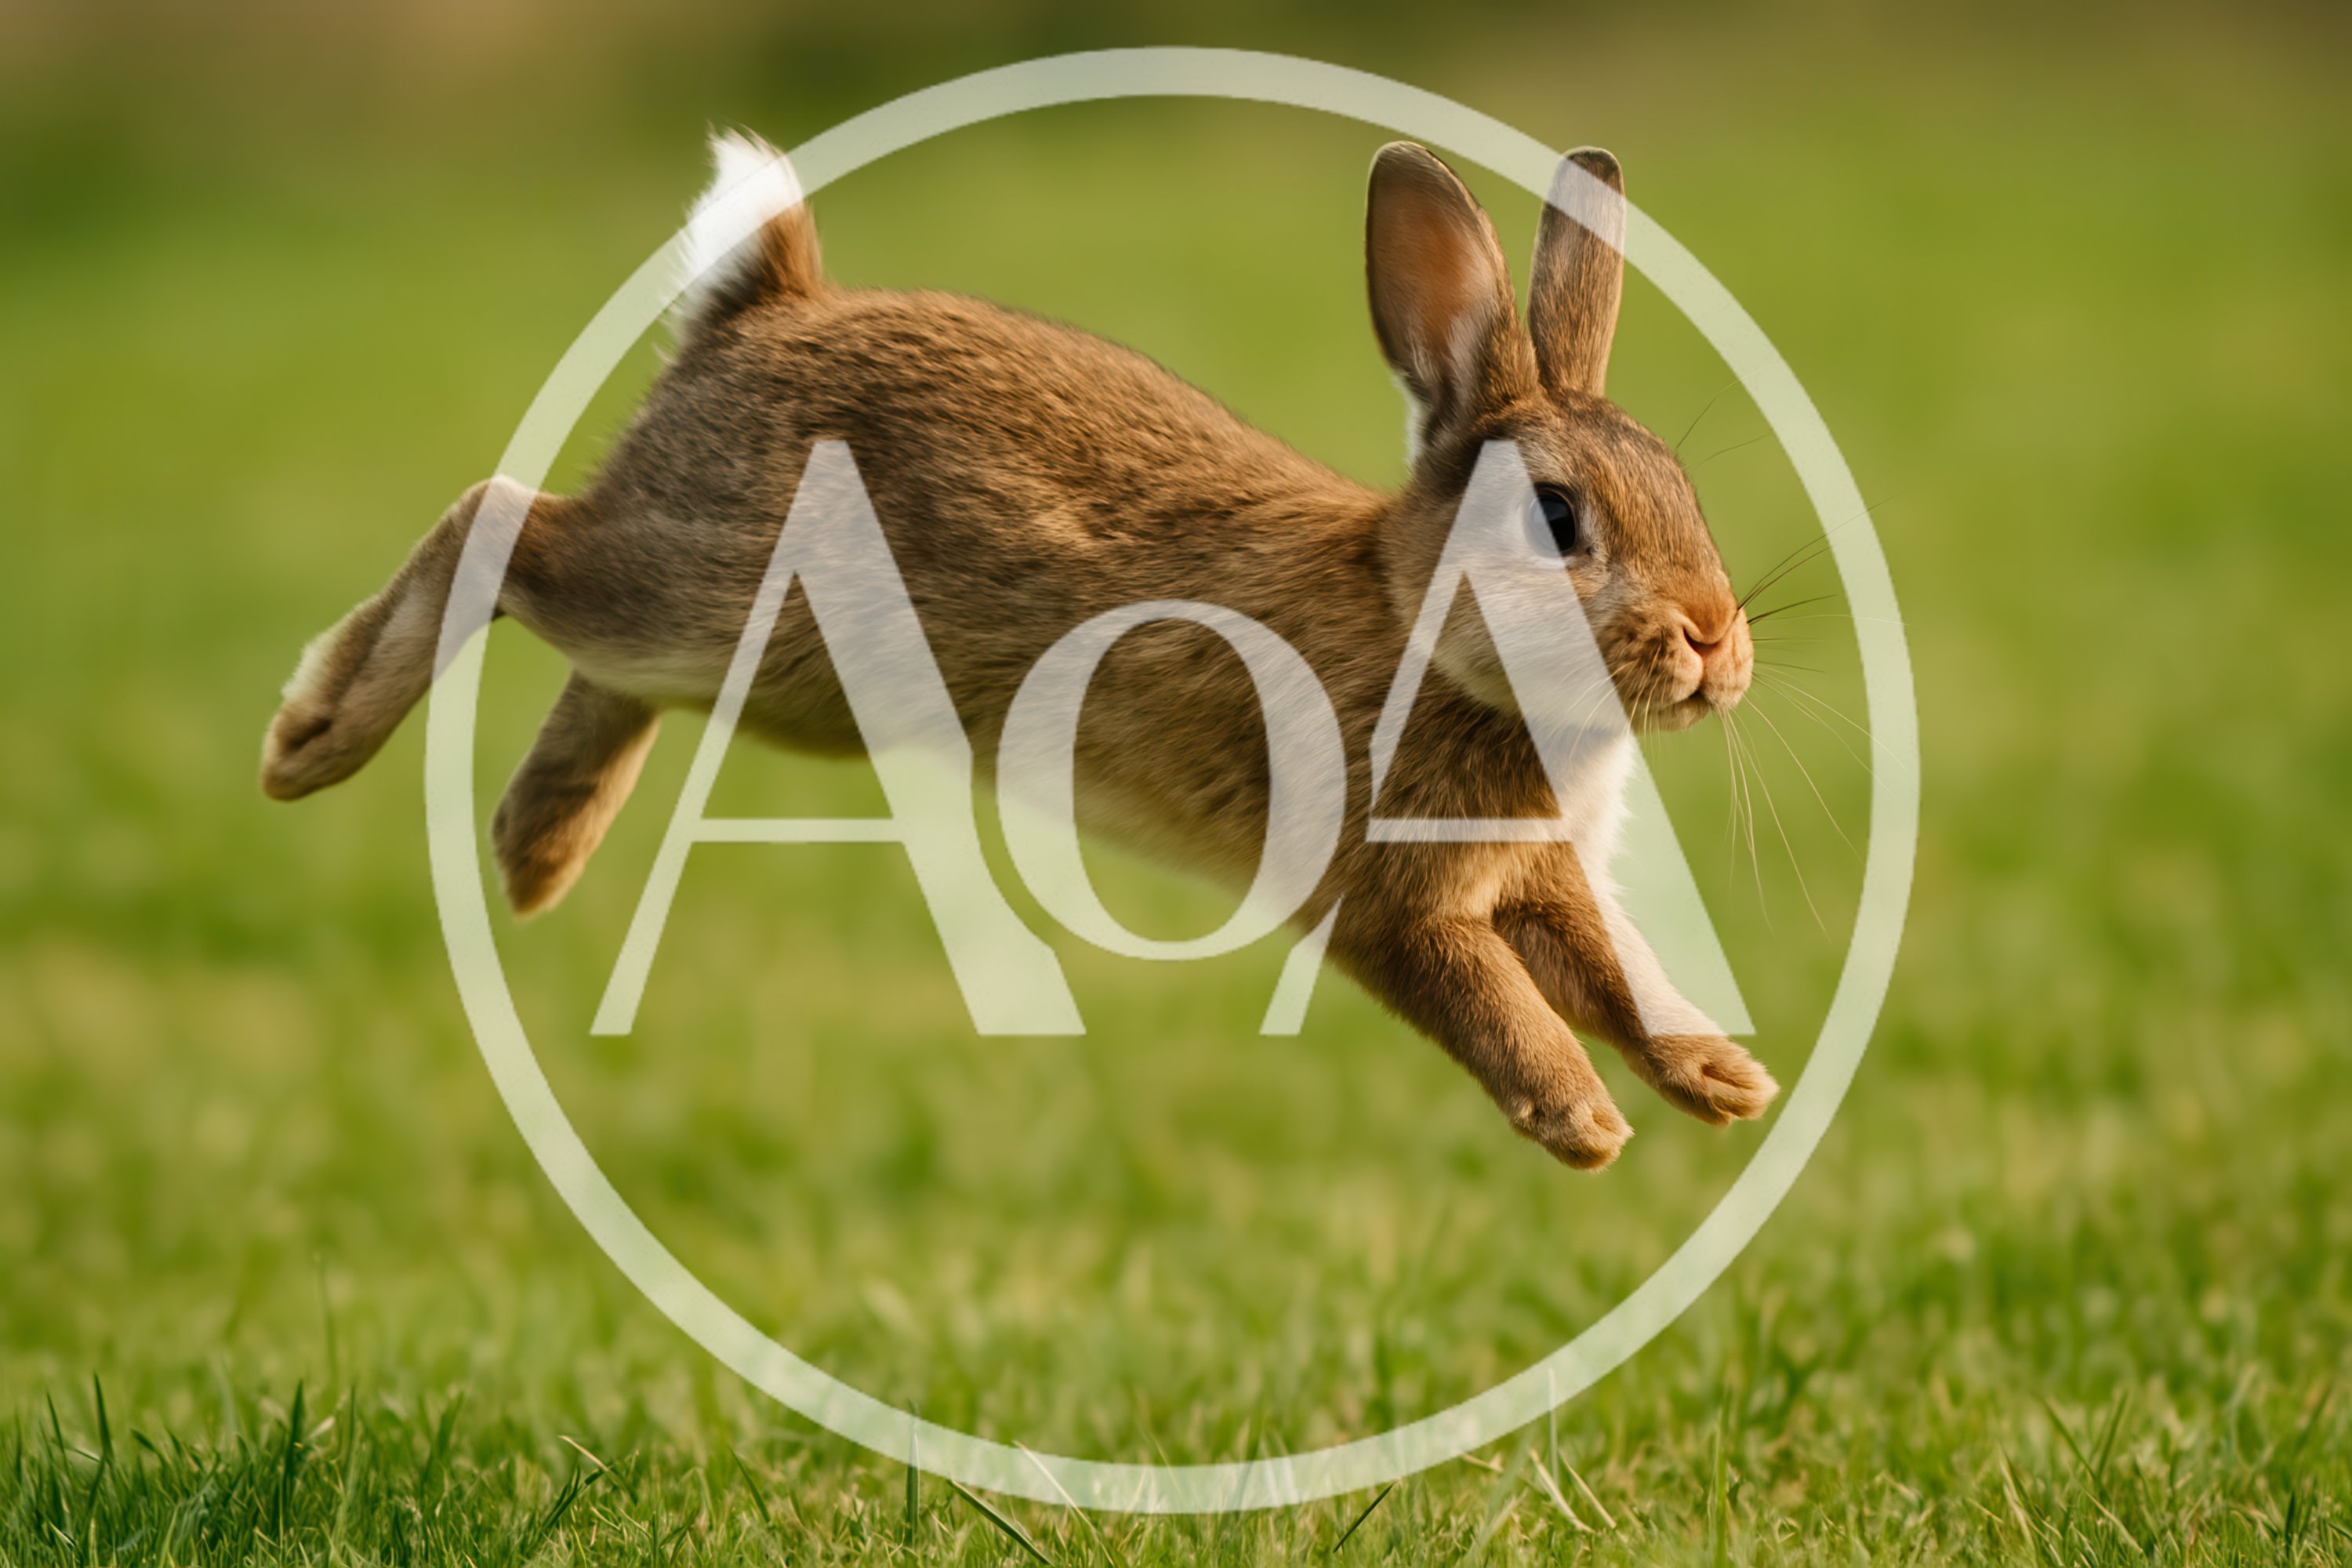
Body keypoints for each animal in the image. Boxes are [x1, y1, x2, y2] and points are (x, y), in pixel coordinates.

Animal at [260, 130, 1775, 1171]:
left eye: (1686, 494)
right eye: (1557, 518)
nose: (1714, 641)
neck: (1427, 631)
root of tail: (762, 306)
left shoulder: (1538, 881)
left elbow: (1615, 977)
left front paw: (1720, 1084)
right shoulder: (1385, 900)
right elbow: (1494, 1003)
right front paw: (1584, 1126)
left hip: (768, 671)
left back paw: (537, 848)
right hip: (695, 592)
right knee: (499, 524)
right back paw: (312, 745)